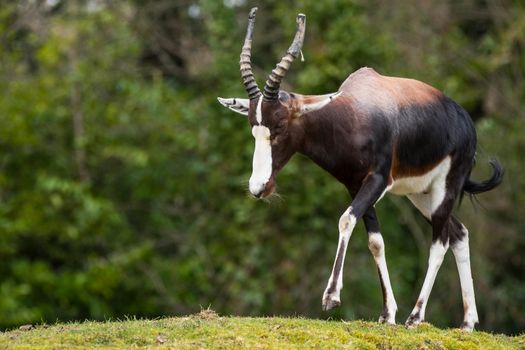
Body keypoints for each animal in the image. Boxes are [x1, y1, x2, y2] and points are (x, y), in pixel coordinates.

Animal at [218, 7, 504, 330]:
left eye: (279, 124)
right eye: (253, 126)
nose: (258, 187)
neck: (353, 113)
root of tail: (466, 122)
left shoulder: (378, 180)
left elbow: (345, 220)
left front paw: (331, 297)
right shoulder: (356, 185)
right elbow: (376, 242)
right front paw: (387, 314)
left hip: (446, 187)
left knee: (440, 241)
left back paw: (416, 316)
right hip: (421, 194)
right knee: (459, 232)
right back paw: (467, 321)